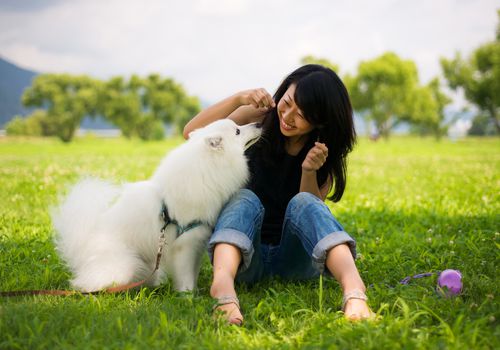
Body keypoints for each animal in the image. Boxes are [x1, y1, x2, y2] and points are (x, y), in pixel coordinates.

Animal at [51, 120, 262, 292]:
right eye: (237, 130)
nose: (259, 123)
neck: (208, 167)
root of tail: (81, 245)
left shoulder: (197, 239)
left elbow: (192, 273)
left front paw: (194, 292)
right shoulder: (185, 244)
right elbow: (185, 275)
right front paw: (188, 296)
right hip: (123, 265)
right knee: (87, 284)